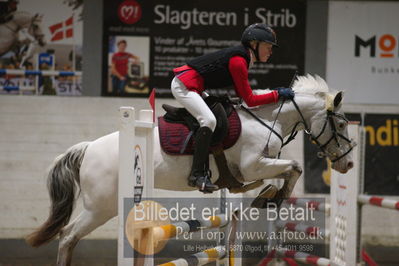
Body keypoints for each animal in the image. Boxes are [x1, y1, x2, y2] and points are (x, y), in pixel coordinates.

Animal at [25, 74, 356, 264]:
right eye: (341, 125)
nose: (349, 163)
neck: (266, 119)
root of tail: (87, 148)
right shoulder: (253, 165)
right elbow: (293, 167)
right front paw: (273, 197)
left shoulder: (256, 168)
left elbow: (280, 174)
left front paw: (266, 196)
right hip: (101, 208)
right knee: (68, 236)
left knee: (69, 237)